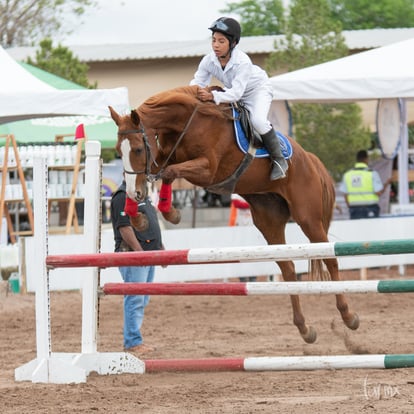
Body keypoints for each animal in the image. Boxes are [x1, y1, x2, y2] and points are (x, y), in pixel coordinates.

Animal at [109, 84, 360, 342]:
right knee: (289, 268)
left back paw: (348, 316)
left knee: (330, 259)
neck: (188, 122)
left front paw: (169, 214)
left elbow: (169, 172)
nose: (137, 193)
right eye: (118, 150)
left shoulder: (207, 170)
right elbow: (162, 173)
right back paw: (304, 328)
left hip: (308, 218)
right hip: (268, 220)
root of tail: (310, 159)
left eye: (138, 149)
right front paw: (140, 216)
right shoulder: (163, 159)